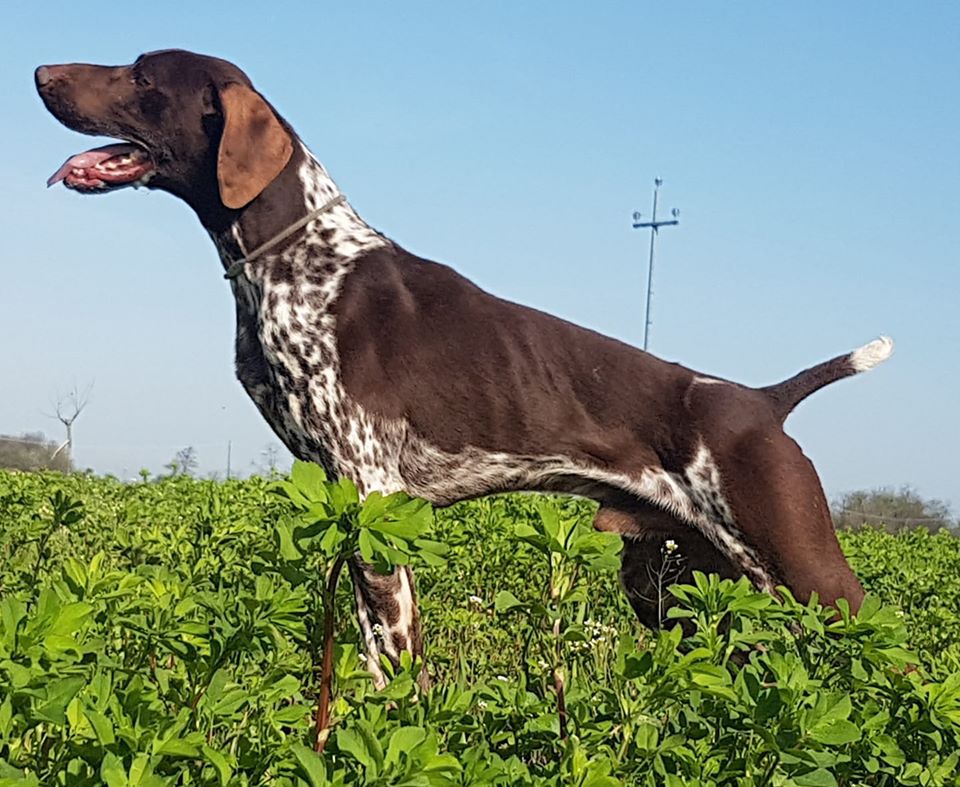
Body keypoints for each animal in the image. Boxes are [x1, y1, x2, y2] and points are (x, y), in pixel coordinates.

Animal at [37, 49, 892, 688]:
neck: (296, 256)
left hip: (809, 572)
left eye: (142, 76)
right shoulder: (350, 505)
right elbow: (373, 657)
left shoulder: (373, 492)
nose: (43, 72)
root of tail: (764, 401)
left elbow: (398, 656)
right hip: (680, 586)